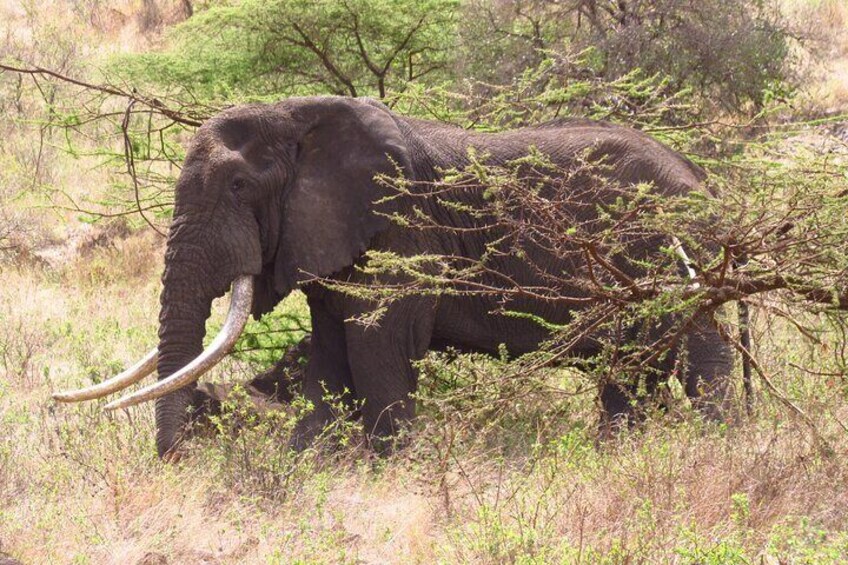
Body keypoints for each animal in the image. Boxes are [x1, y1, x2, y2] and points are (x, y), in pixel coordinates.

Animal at [53, 96, 732, 458]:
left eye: (240, 186)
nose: (182, 457)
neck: (298, 117)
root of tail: (703, 178)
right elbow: (331, 351)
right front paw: (311, 461)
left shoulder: (399, 228)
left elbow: (377, 345)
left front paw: (393, 466)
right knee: (637, 369)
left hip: (677, 252)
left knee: (699, 354)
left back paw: (716, 444)